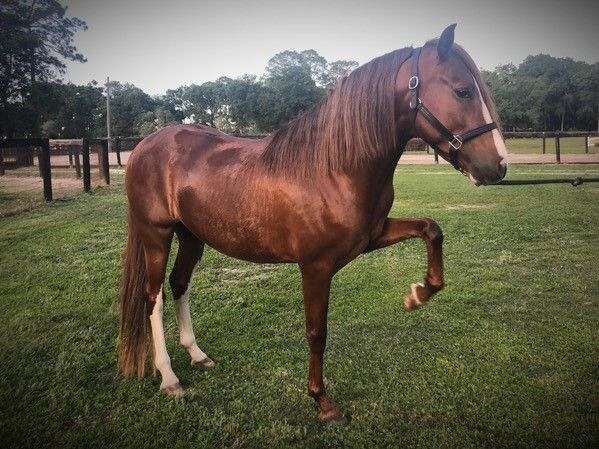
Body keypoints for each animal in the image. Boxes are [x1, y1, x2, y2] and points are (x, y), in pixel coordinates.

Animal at [119, 25, 508, 424]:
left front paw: (418, 294)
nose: (498, 166)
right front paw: (322, 401)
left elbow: (431, 228)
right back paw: (169, 378)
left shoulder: (373, 236)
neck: (334, 169)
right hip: (157, 236)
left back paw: (198, 356)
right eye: (462, 90)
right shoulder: (316, 266)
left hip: (192, 237)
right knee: (153, 298)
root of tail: (145, 145)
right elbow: (317, 332)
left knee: (179, 285)